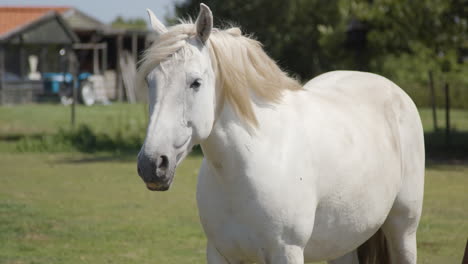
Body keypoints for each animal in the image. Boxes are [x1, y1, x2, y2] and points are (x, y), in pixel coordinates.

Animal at [135, 3, 424, 262]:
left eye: (195, 82)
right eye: (150, 81)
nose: (152, 164)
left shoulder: (287, 252)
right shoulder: (220, 253)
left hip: (403, 231)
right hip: (344, 241)